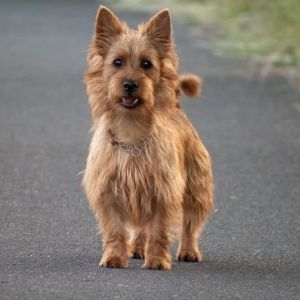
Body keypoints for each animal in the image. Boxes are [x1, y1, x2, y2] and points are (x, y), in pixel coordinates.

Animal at [82, 6, 213, 270]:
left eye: (146, 64)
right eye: (117, 62)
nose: (130, 84)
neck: (131, 131)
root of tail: (177, 107)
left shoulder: (163, 192)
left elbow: (159, 231)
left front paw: (157, 260)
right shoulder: (109, 191)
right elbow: (114, 230)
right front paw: (114, 257)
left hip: (196, 186)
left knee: (190, 223)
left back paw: (188, 250)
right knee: (141, 228)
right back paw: (137, 249)